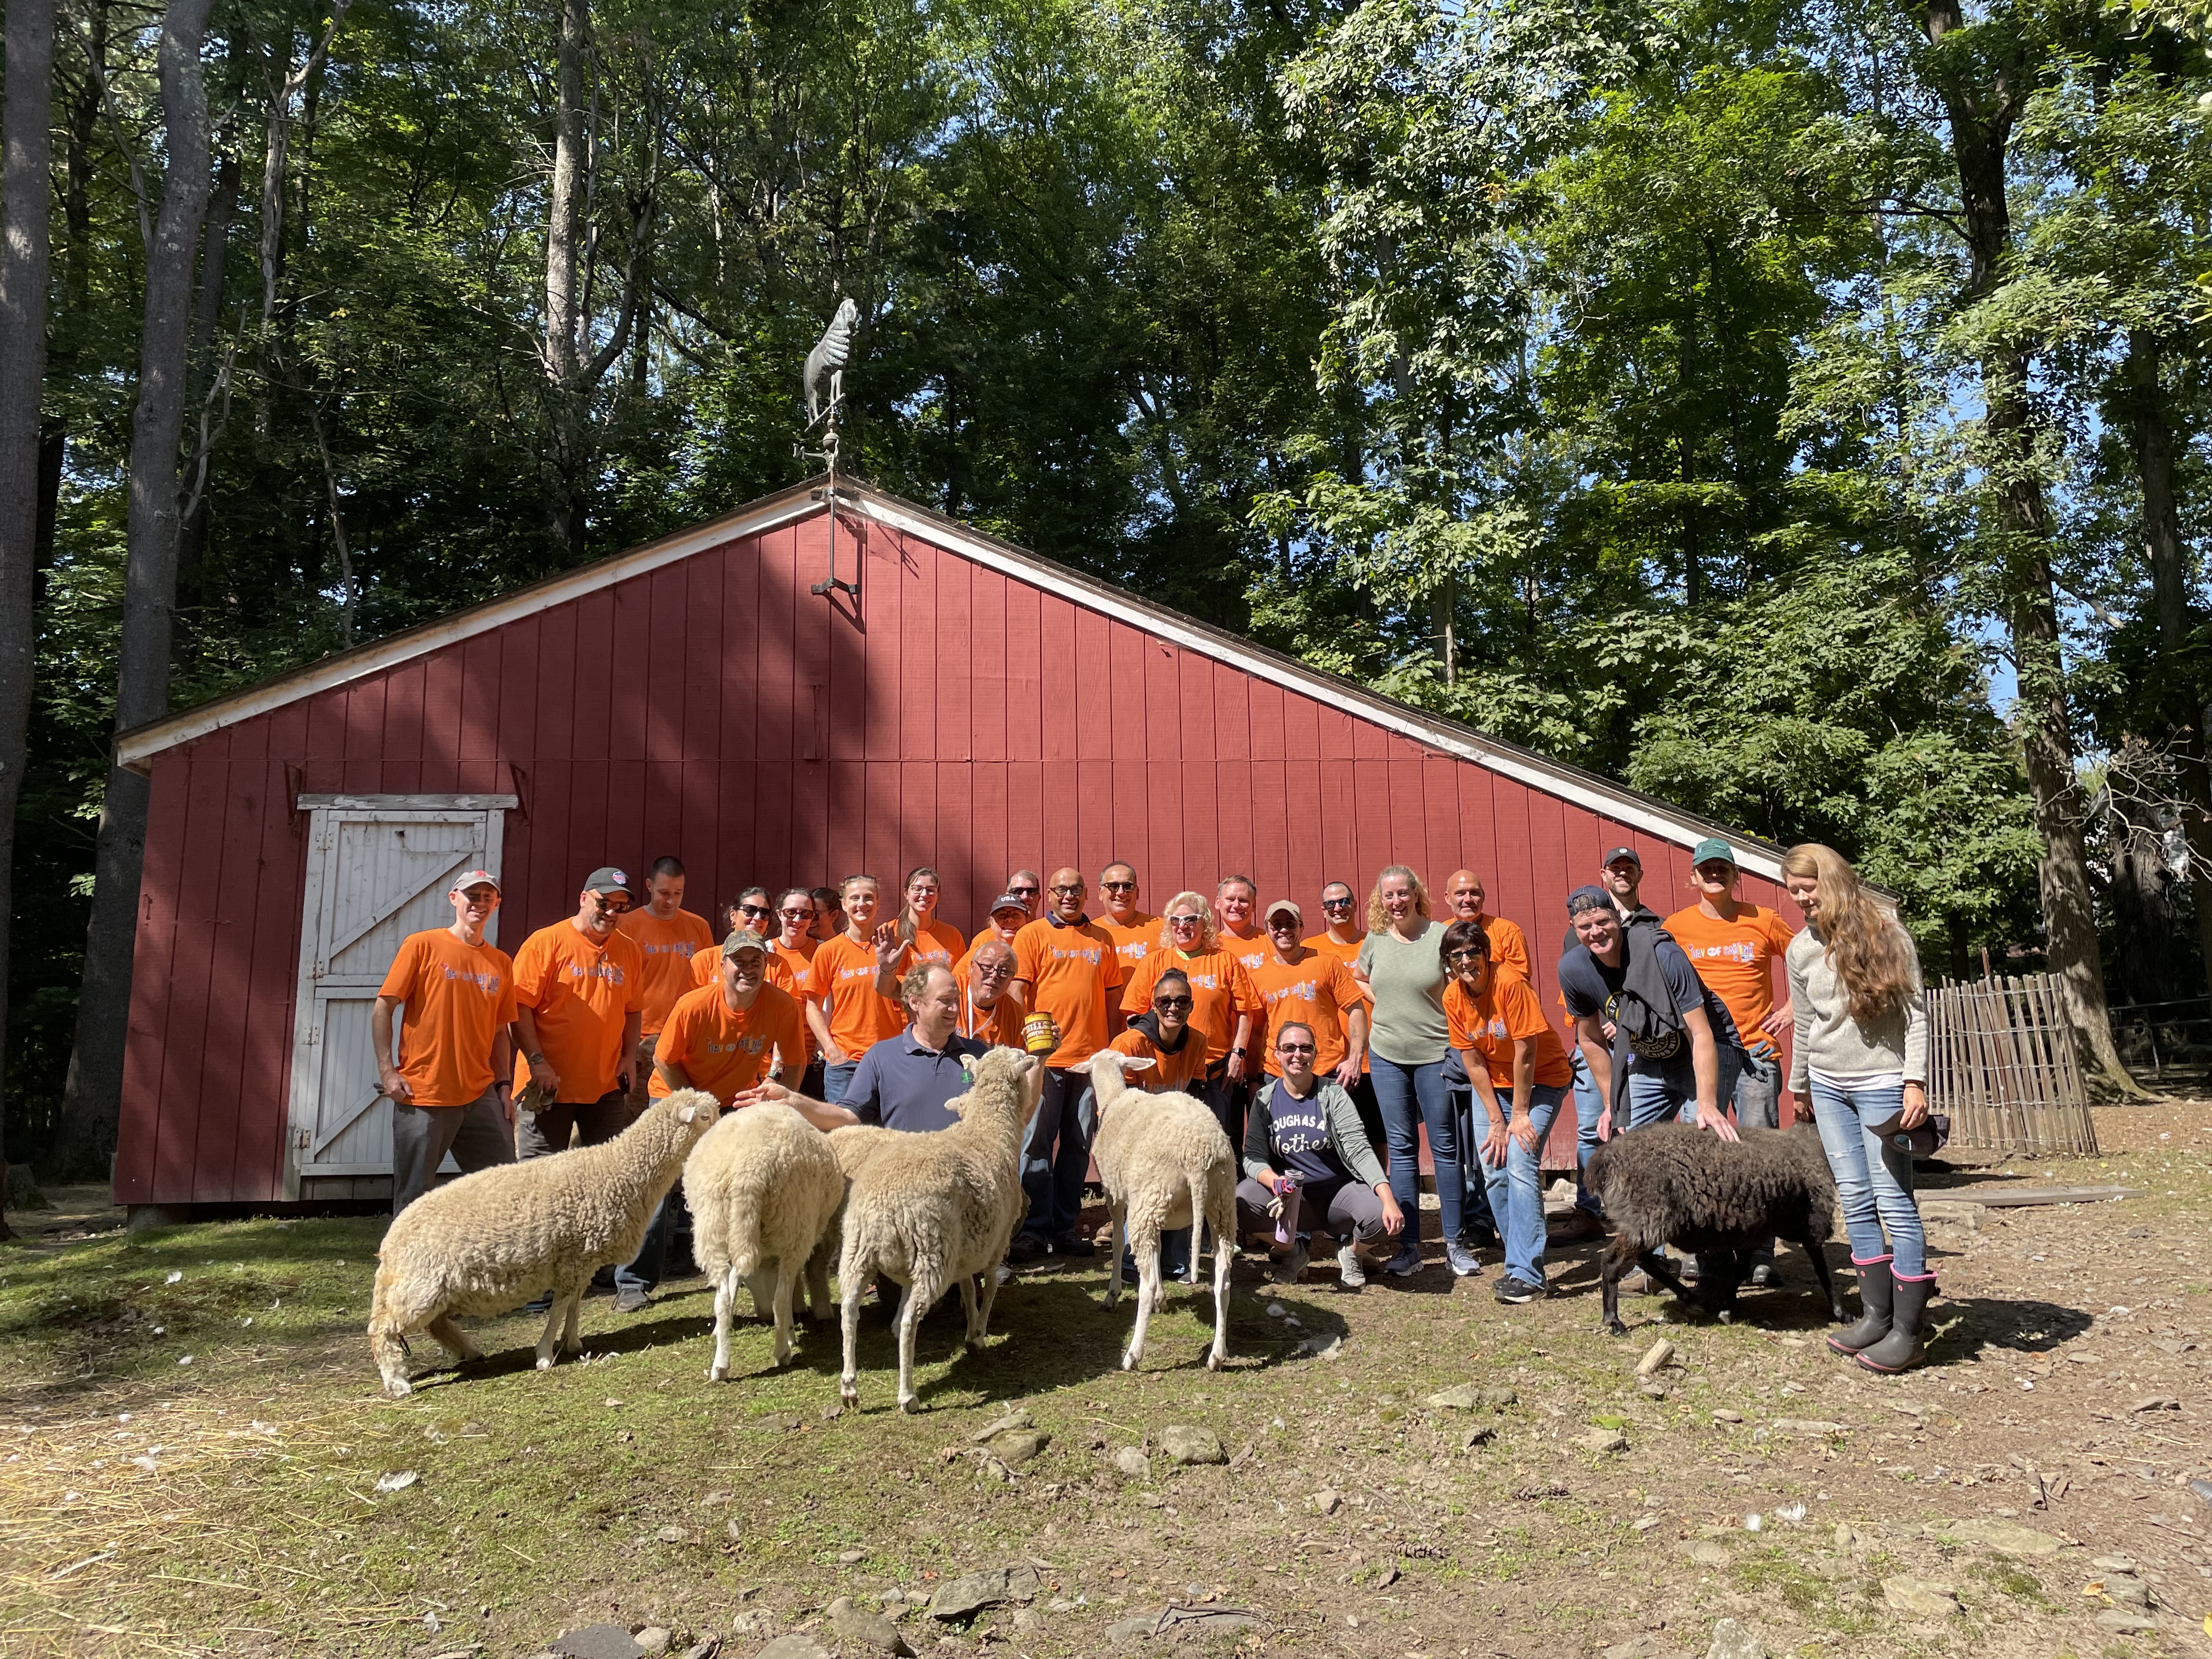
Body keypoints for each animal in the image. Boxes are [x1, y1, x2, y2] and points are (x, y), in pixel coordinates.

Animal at [367, 1084, 716, 1398]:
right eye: (705, 1116)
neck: (617, 1170)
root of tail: (390, 1242)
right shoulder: (572, 1259)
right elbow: (560, 1308)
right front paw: (545, 1355)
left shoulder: (583, 1260)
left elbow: (574, 1308)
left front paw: (573, 1344)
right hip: (420, 1285)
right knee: (382, 1329)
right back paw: (398, 1383)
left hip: (432, 1287)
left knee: (434, 1324)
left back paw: (469, 1352)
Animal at [681, 1106, 845, 1380]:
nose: (764, 1315)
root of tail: (749, 1170)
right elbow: (789, 1293)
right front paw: (790, 1333)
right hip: (793, 1227)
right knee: (780, 1299)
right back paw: (782, 1354)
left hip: (714, 1230)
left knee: (722, 1300)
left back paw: (720, 1366)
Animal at [832, 1053, 1044, 1415]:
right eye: (1020, 1060)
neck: (988, 1132)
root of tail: (884, 1205)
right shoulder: (996, 1244)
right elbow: (989, 1290)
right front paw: (979, 1334)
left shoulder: (966, 1251)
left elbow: (969, 1292)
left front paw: (971, 1331)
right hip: (932, 1251)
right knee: (908, 1320)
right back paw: (907, 1396)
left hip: (859, 1251)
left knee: (849, 1311)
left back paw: (849, 1387)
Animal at [1079, 1057, 1238, 1371]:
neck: (1116, 1098)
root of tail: (1199, 1155)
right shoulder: (1159, 1214)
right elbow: (1160, 1251)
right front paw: (1163, 1301)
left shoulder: (1114, 1194)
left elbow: (1120, 1244)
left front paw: (1113, 1294)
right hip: (1220, 1206)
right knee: (1223, 1283)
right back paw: (1217, 1355)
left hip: (1150, 1202)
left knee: (1147, 1283)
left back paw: (1132, 1355)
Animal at [1593, 1124, 1849, 1345]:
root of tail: (1605, 1160)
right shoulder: (1811, 1227)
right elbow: (1823, 1272)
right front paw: (1841, 1313)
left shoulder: (1749, 1232)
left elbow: (1742, 1269)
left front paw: (1726, 1304)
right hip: (1647, 1218)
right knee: (1612, 1260)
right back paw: (1613, 1320)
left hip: (1649, 1223)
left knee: (1644, 1260)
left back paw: (1690, 1298)